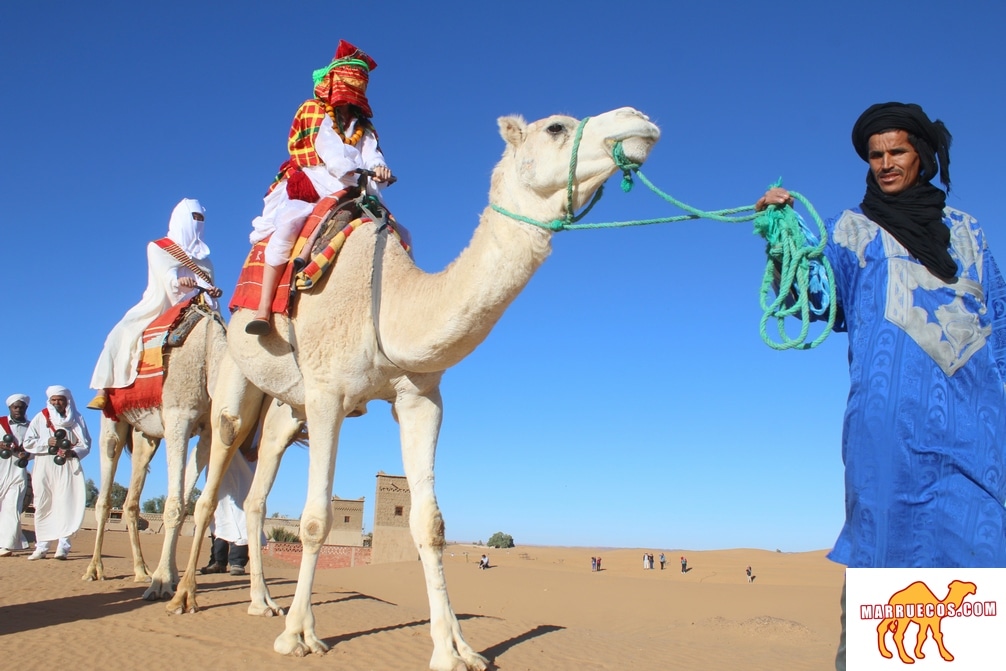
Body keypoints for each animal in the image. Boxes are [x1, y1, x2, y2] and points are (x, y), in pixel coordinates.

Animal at [166, 106, 659, 671]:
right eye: (556, 127)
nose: (639, 121)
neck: (389, 302)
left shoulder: (419, 398)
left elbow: (430, 524)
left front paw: (455, 649)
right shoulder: (328, 394)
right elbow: (315, 519)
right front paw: (298, 637)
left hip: (286, 408)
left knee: (255, 496)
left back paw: (262, 602)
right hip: (238, 382)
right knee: (212, 479)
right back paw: (183, 597)